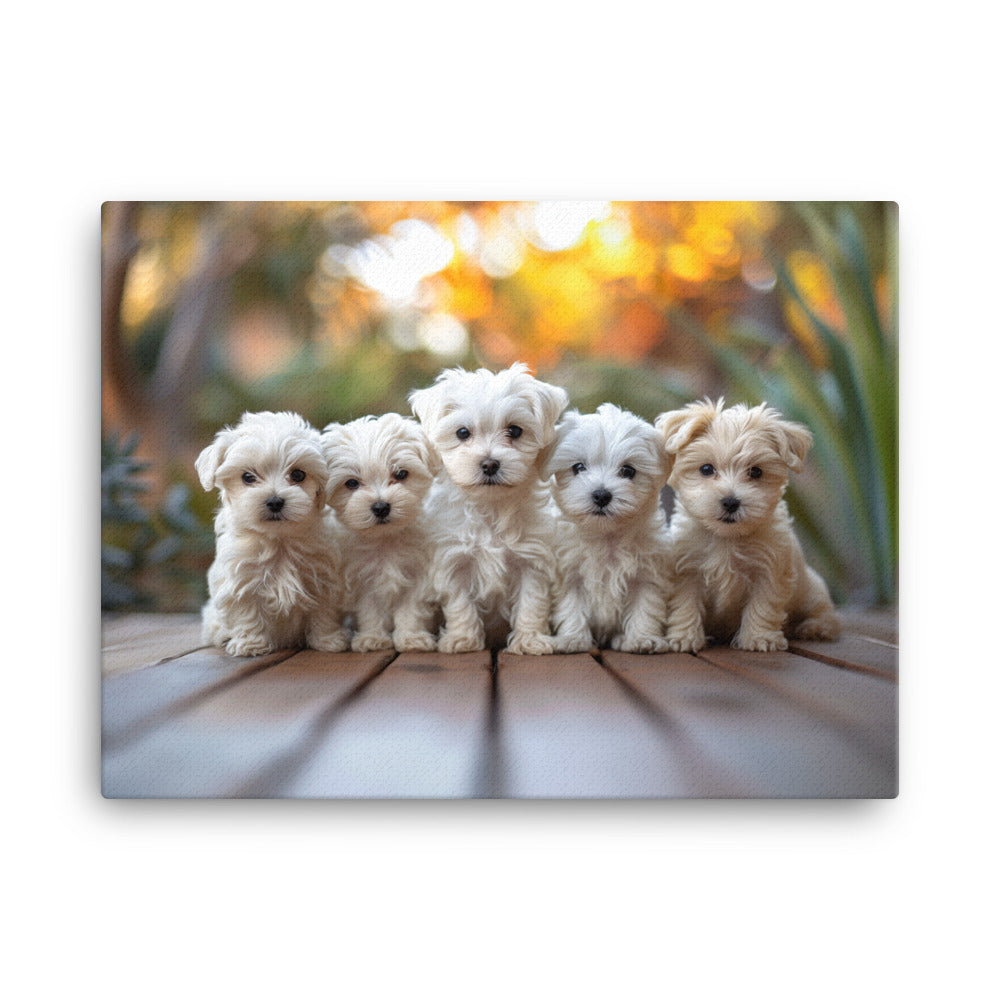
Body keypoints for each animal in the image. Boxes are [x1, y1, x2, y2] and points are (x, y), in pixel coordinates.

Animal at [197, 412, 350, 656]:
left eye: (298, 474)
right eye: (247, 477)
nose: (275, 501)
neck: (279, 540)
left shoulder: (323, 578)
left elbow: (324, 612)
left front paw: (328, 640)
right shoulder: (241, 581)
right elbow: (247, 612)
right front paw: (251, 644)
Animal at [324, 410, 442, 652]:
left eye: (401, 474)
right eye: (351, 483)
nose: (380, 507)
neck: (385, 539)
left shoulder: (418, 576)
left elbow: (410, 610)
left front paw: (411, 638)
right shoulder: (362, 579)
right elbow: (370, 610)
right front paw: (373, 638)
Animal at [406, 364, 564, 652]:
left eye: (515, 431)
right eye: (462, 433)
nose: (490, 464)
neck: (491, 507)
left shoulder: (532, 561)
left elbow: (532, 603)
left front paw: (530, 640)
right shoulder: (454, 560)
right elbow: (460, 604)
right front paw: (462, 639)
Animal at [544, 404, 676, 656]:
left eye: (628, 471)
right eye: (578, 467)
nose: (601, 495)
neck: (606, 537)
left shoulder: (646, 575)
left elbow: (645, 607)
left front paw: (642, 638)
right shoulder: (569, 574)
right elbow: (571, 606)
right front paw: (572, 639)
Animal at [656, 398, 836, 656]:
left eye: (756, 471)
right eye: (706, 469)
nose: (731, 502)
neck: (727, 538)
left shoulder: (769, 571)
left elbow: (762, 604)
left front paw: (760, 638)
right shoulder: (686, 570)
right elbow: (684, 605)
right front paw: (683, 638)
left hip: (811, 591)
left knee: (826, 613)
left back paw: (814, 627)